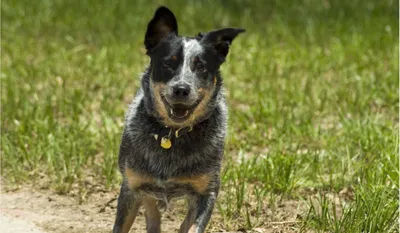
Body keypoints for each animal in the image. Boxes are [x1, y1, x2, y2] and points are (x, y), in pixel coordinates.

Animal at [112, 5, 244, 233]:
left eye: (201, 67)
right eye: (168, 64)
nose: (181, 89)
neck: (172, 135)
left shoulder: (206, 193)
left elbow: (191, 227)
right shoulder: (131, 187)